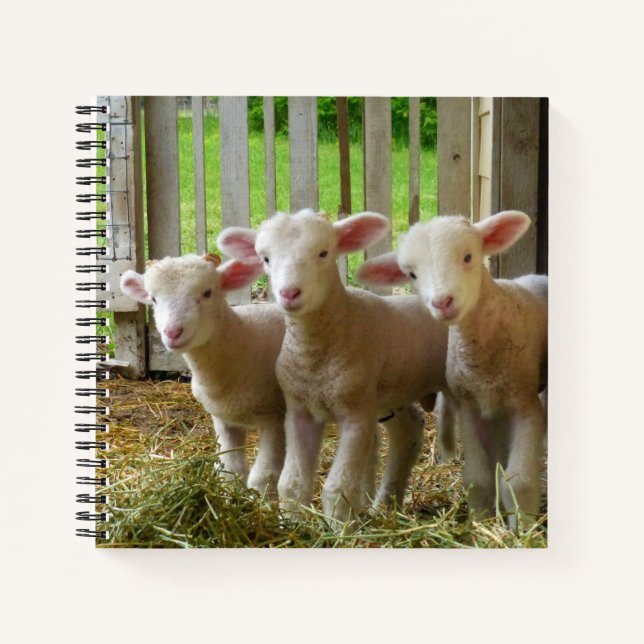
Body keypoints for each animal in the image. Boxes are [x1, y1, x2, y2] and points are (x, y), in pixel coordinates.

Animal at [119, 253, 287, 498]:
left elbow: (263, 478)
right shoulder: (223, 418)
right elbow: (231, 470)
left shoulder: (276, 417)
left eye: (207, 293)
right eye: (153, 299)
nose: (172, 333)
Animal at [217, 209, 453, 524]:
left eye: (323, 253)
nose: (289, 293)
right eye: (265, 258)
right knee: (409, 431)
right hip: (392, 394)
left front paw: (338, 527)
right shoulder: (299, 411)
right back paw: (385, 506)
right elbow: (291, 483)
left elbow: (338, 488)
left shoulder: (356, 415)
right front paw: (294, 523)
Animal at [357, 211, 548, 526]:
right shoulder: (470, 407)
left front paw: (522, 529)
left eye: (468, 257)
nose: (442, 302)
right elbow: (478, 478)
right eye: (412, 274)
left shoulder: (526, 405)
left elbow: (519, 481)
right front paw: (481, 523)